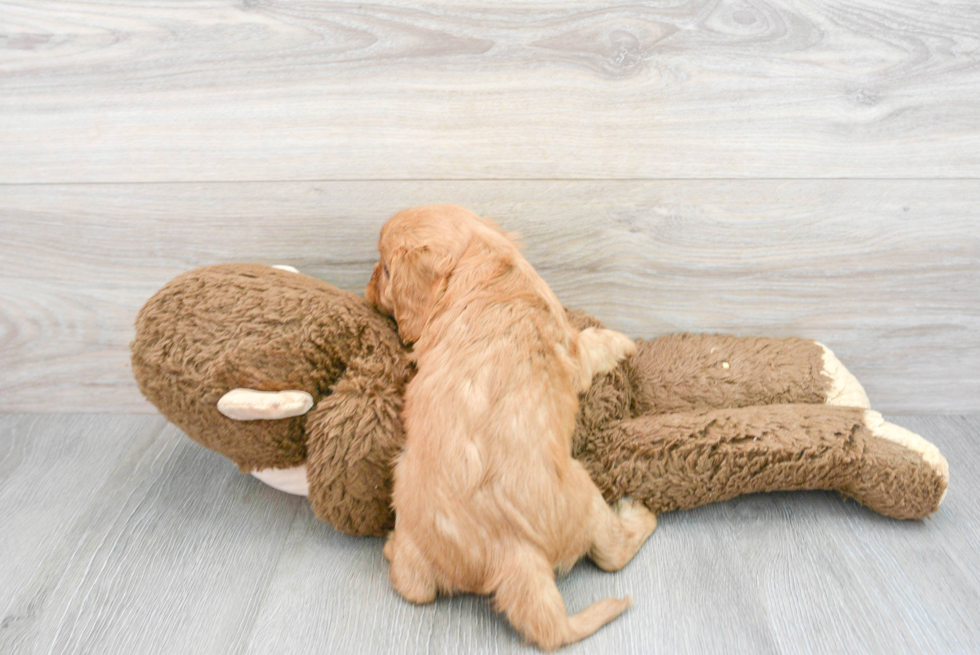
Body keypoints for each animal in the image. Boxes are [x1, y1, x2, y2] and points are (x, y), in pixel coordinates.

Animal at [368, 205, 660, 652]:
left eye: (384, 269)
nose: (366, 288)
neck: (481, 259)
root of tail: (515, 552)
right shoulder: (574, 353)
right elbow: (594, 344)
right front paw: (621, 340)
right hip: (585, 491)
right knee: (612, 552)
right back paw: (639, 514)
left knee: (414, 586)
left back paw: (391, 546)